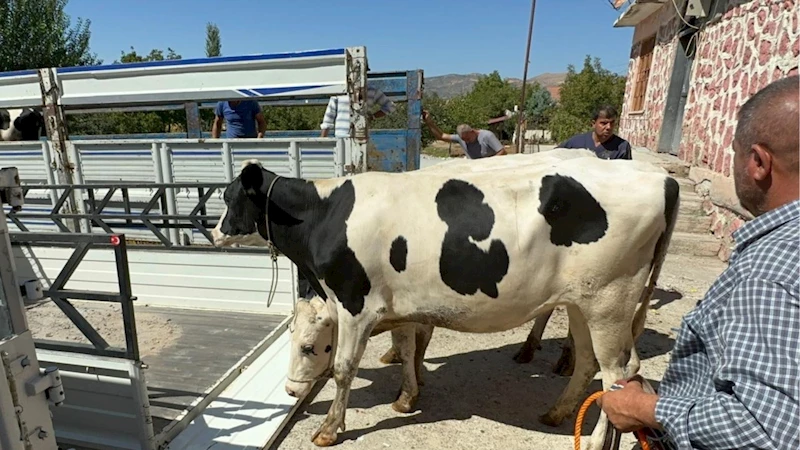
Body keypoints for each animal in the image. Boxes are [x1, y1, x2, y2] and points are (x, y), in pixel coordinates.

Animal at [214, 156, 680, 450]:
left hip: (609, 302)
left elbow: (345, 369)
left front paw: (330, 428)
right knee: (588, 362)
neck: (327, 214)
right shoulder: (397, 304)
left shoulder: (355, 304)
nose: (214, 232)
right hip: (584, 303)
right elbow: (406, 348)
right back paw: (556, 412)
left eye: (229, 197)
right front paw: (406, 397)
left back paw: (597, 440)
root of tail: (660, 177)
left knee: (620, 372)